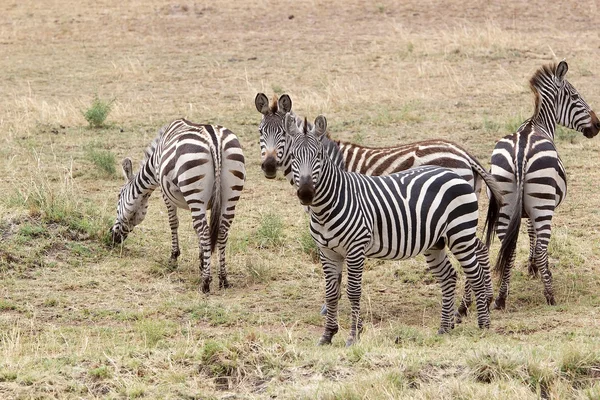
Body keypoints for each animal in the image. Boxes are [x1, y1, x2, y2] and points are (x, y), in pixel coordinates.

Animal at [110, 119, 246, 294]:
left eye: (119, 196)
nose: (112, 237)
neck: (154, 163)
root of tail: (214, 140)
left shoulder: (165, 191)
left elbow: (174, 222)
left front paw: (174, 257)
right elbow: (199, 230)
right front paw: (202, 261)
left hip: (194, 188)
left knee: (204, 230)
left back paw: (205, 283)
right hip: (230, 195)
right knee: (220, 231)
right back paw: (223, 279)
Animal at [488, 60, 600, 310]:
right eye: (575, 96)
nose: (598, 125)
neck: (537, 123)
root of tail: (520, 151)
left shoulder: (523, 208)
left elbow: (526, 234)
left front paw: (532, 267)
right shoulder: (536, 208)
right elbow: (535, 236)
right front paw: (538, 268)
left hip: (505, 200)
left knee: (507, 247)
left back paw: (501, 298)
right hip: (543, 203)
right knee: (541, 244)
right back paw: (550, 295)